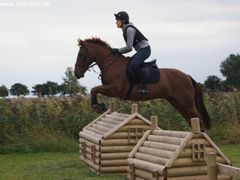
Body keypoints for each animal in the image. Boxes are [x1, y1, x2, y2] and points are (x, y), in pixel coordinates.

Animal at [73, 37, 210, 130]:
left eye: (81, 54)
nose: (76, 73)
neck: (110, 63)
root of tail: (187, 76)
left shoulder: (114, 89)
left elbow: (94, 89)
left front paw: (98, 106)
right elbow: (94, 90)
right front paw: (98, 105)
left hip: (186, 103)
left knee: (199, 120)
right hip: (178, 103)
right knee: (192, 119)